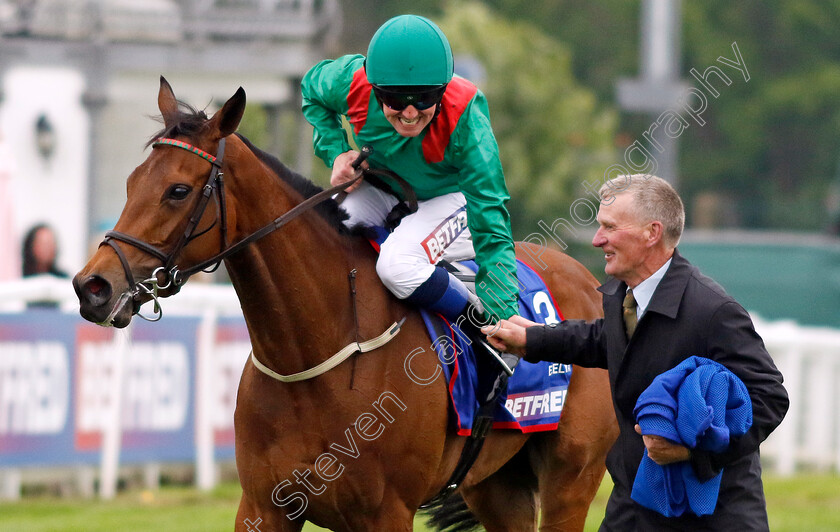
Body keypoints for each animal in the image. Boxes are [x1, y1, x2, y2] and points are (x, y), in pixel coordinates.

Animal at [72, 79, 616, 532]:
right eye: (130, 182)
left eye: (178, 190)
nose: (92, 286)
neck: (315, 356)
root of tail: (590, 279)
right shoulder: (264, 507)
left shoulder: (386, 513)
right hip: (496, 483)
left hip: (572, 476)